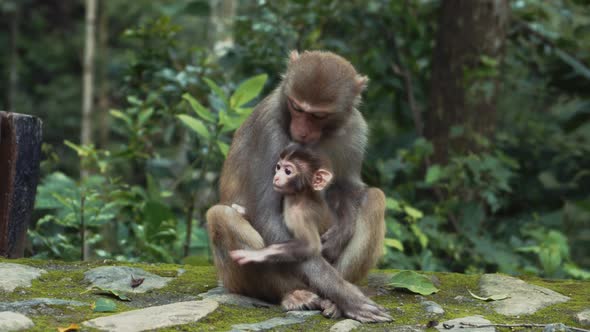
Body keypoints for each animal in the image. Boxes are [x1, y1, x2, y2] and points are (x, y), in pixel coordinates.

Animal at [206, 50, 390, 322]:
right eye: (296, 107)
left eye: (318, 115)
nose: (301, 131)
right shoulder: (269, 130)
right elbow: (268, 218)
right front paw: (347, 296)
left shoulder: (356, 129)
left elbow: (349, 187)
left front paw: (343, 230)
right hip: (236, 280)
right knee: (221, 215)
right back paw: (293, 294)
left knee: (374, 198)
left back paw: (333, 301)